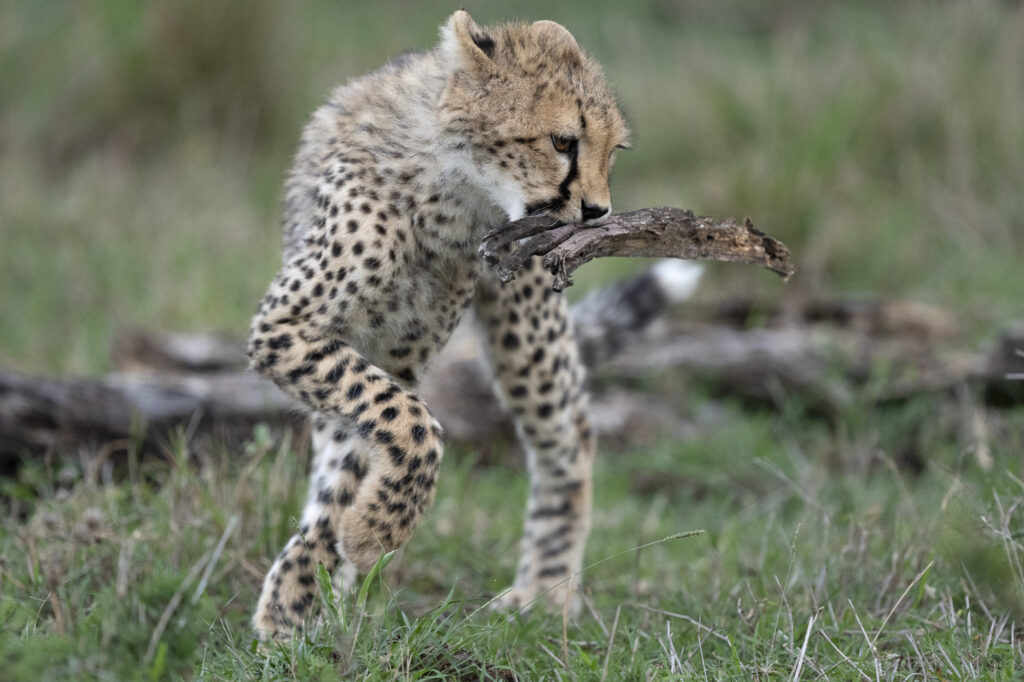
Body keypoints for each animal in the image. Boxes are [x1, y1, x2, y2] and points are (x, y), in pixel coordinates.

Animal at [246, 9, 630, 638]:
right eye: (562, 141)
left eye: (612, 151)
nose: (598, 212)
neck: (448, 194)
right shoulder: (293, 329)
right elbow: (398, 425)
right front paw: (303, 597)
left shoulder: (392, 355)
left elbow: (397, 428)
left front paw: (354, 545)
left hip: (524, 328)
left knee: (569, 435)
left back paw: (547, 591)